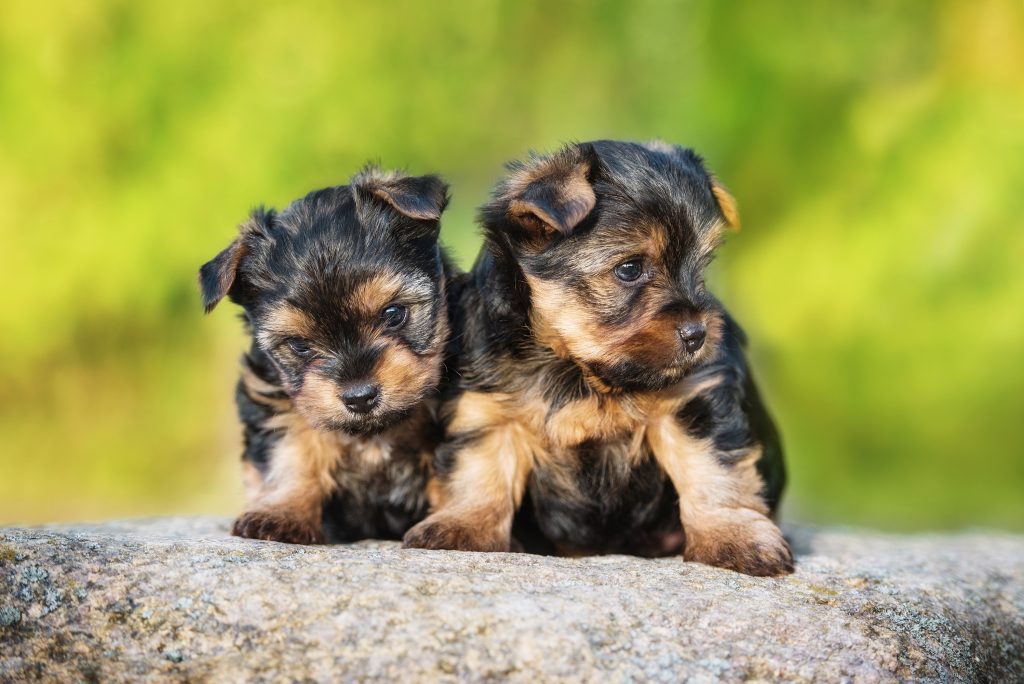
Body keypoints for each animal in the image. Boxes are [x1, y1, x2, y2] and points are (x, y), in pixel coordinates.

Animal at [198, 169, 452, 544]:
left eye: (393, 314)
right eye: (300, 346)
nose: (359, 397)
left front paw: (457, 524)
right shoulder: (275, 398)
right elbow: (292, 454)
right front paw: (281, 514)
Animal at [401, 141, 790, 573]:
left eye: (701, 268)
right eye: (630, 269)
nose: (698, 334)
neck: (577, 365)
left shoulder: (692, 399)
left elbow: (712, 472)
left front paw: (733, 536)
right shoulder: (488, 405)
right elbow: (479, 469)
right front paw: (463, 526)